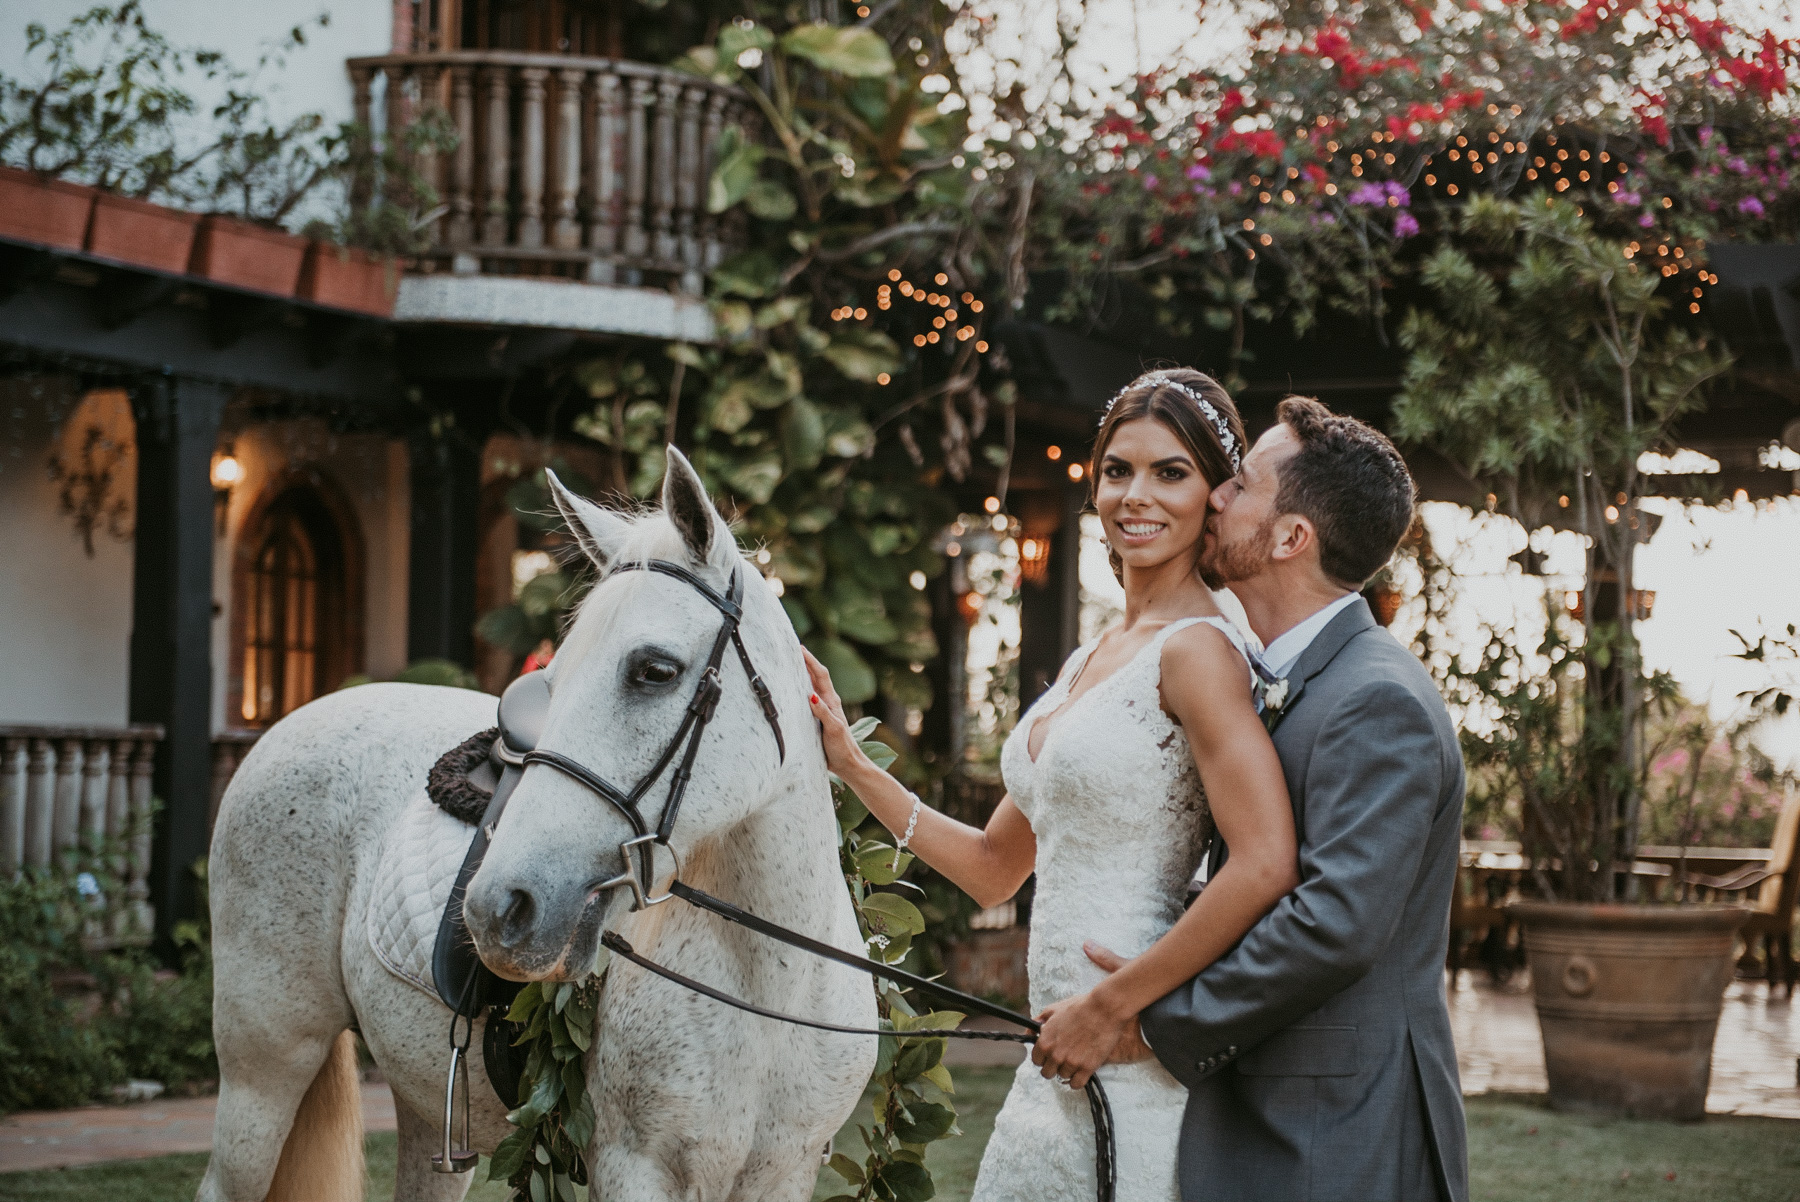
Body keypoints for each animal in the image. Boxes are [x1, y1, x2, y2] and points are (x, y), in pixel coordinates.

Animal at [200, 446, 874, 1194]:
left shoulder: (784, 1172)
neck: (770, 983)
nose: (493, 909)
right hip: (264, 1071)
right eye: (553, 677)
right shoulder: (634, 1167)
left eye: (655, 670)